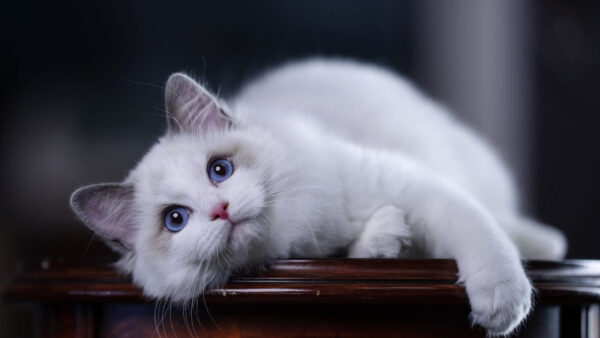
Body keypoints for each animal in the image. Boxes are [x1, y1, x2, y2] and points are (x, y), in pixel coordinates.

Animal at [70, 58, 568, 336]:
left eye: (219, 170)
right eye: (176, 220)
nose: (221, 210)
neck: (300, 230)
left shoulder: (413, 184)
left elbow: (482, 237)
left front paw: (502, 305)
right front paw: (383, 240)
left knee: (507, 221)